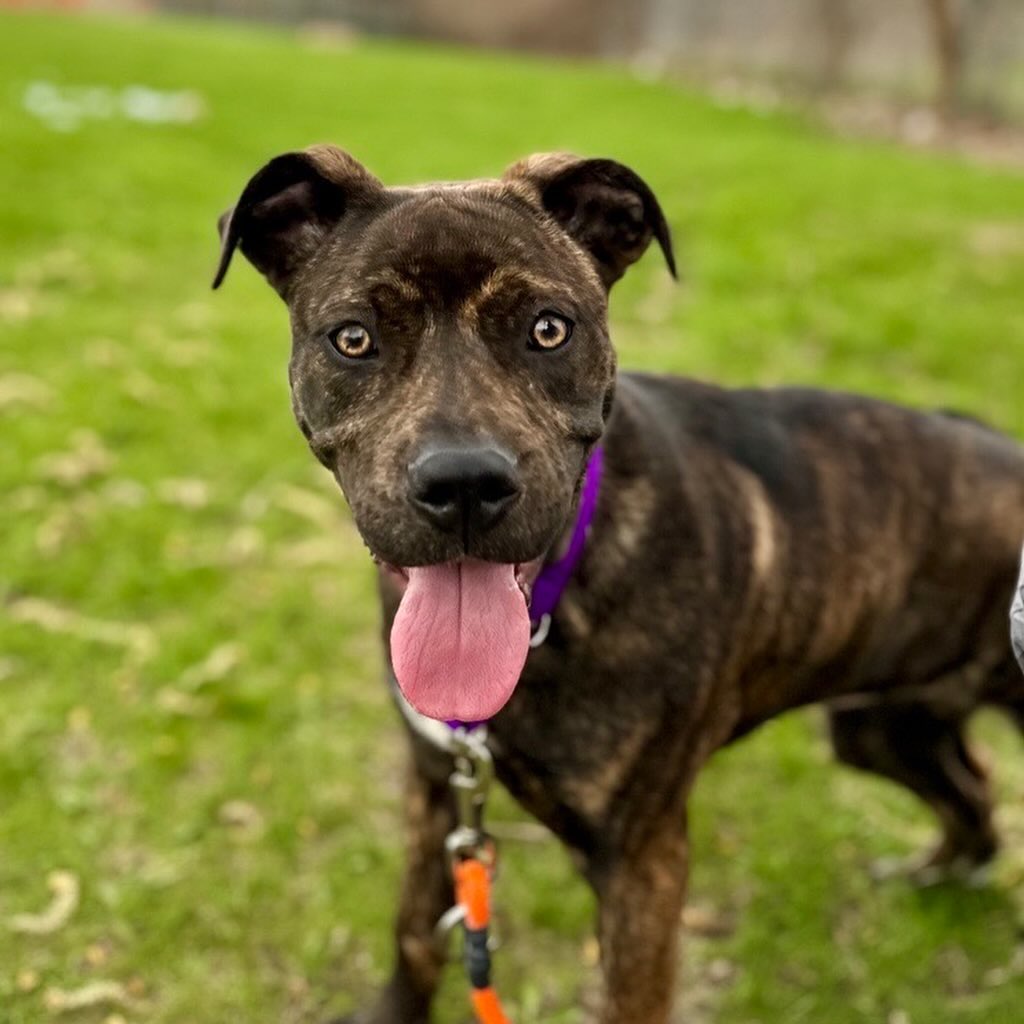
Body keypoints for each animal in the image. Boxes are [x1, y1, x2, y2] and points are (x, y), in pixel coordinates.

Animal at [214, 146, 1024, 1024]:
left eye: (548, 328)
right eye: (354, 338)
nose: (464, 483)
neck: (553, 610)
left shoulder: (642, 860)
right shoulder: (435, 788)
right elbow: (416, 934)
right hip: (884, 724)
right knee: (973, 792)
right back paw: (938, 878)